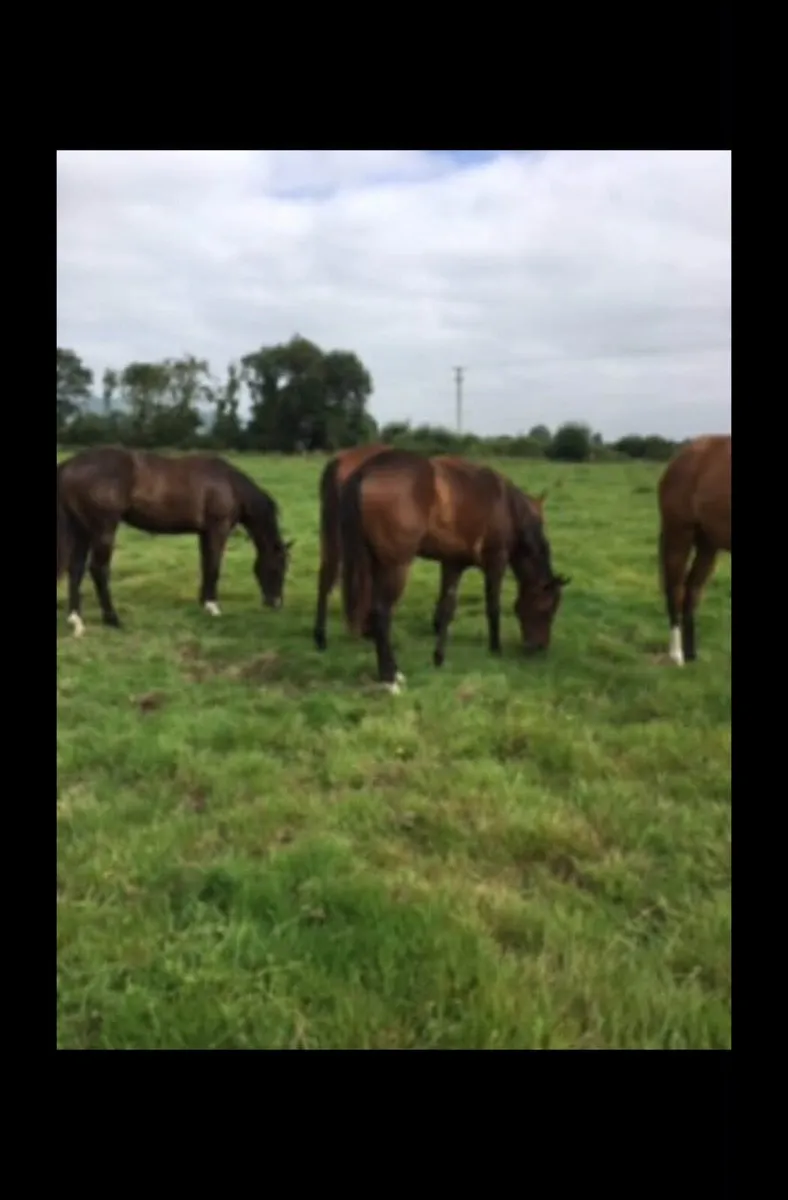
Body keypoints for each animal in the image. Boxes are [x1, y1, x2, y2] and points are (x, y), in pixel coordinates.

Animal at [57, 446, 293, 636]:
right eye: (278, 567)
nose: (276, 603)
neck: (229, 484)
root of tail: (69, 465)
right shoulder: (218, 530)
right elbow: (214, 567)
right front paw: (213, 607)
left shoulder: (205, 533)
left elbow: (206, 566)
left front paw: (204, 603)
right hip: (103, 530)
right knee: (98, 570)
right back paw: (113, 619)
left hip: (81, 530)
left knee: (76, 569)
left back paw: (76, 621)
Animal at [338, 449, 569, 691]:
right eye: (547, 608)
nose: (539, 648)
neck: (508, 509)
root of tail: (366, 471)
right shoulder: (496, 562)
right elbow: (493, 607)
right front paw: (496, 649)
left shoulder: (453, 564)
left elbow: (446, 609)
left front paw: (439, 657)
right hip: (395, 566)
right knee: (381, 613)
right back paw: (391, 677)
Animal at [657, 433, 731, 666]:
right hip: (679, 534)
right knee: (676, 589)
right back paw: (677, 655)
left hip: (708, 544)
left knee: (692, 590)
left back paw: (691, 654)